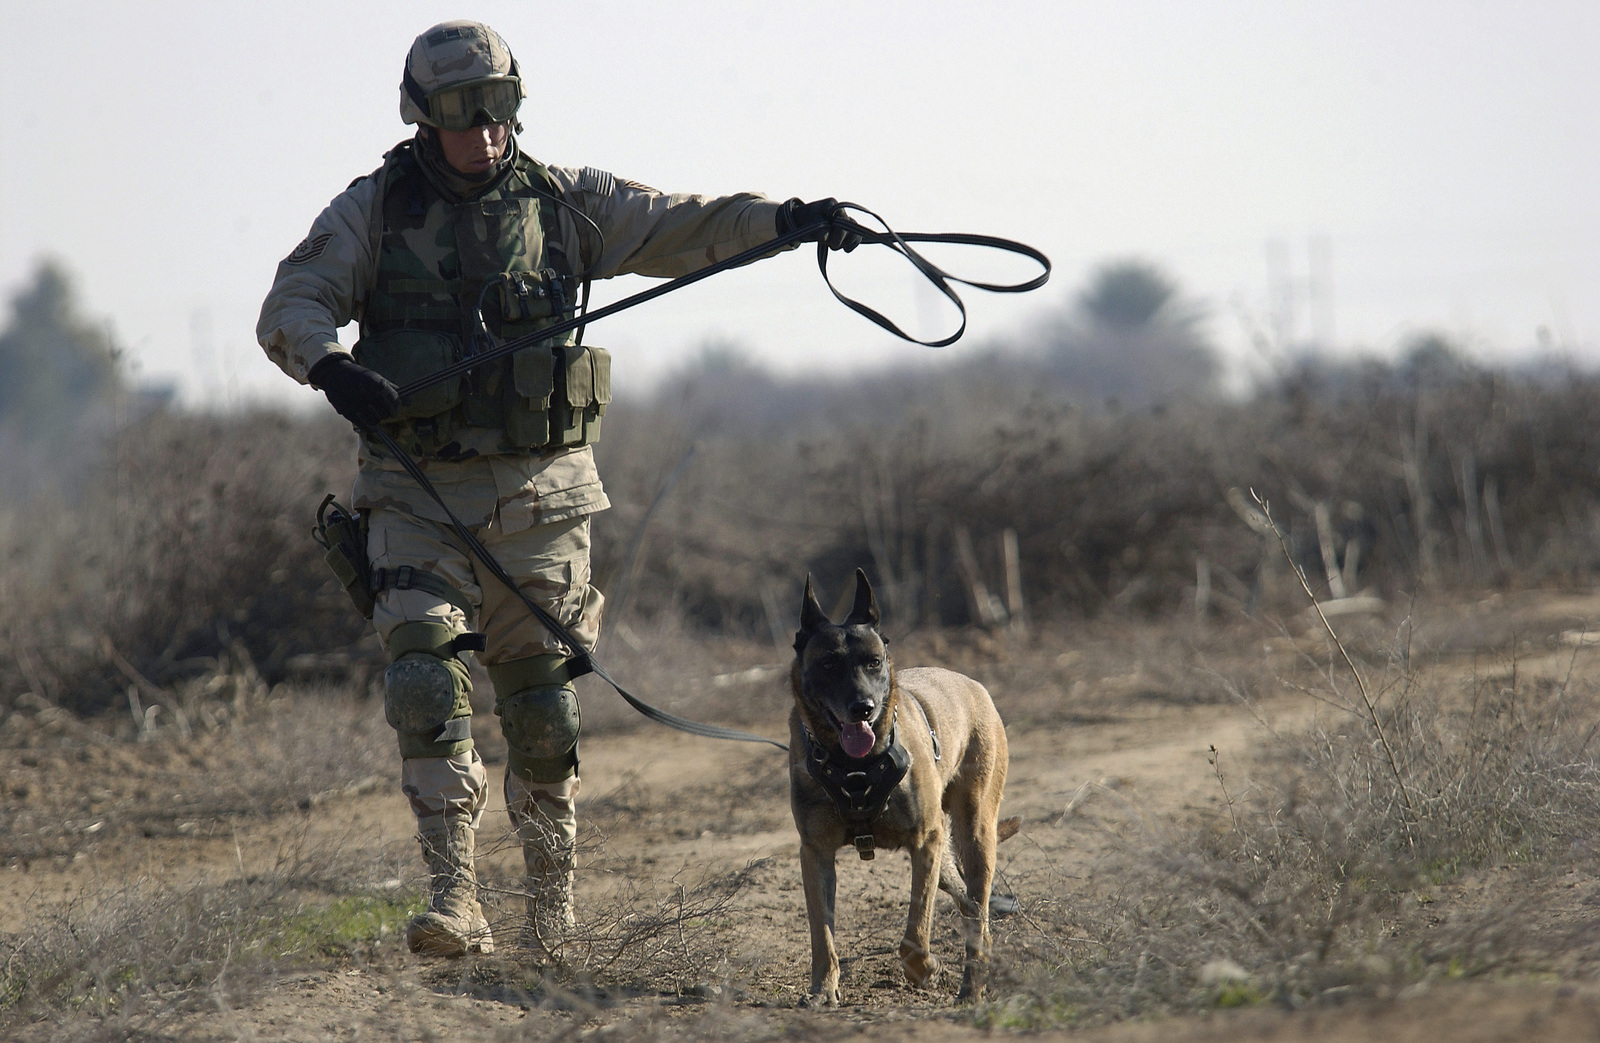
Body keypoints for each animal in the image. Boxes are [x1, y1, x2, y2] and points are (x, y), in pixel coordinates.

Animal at [784, 569, 1011, 1004]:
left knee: (977, 908)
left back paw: (971, 986)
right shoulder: (815, 853)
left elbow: (915, 931)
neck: (853, 767)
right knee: (966, 899)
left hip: (974, 832)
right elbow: (822, 933)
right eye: (828, 663)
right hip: (948, 855)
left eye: (873, 662)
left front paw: (924, 969)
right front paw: (823, 988)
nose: (863, 708)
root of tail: (975, 685)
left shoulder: (926, 840)